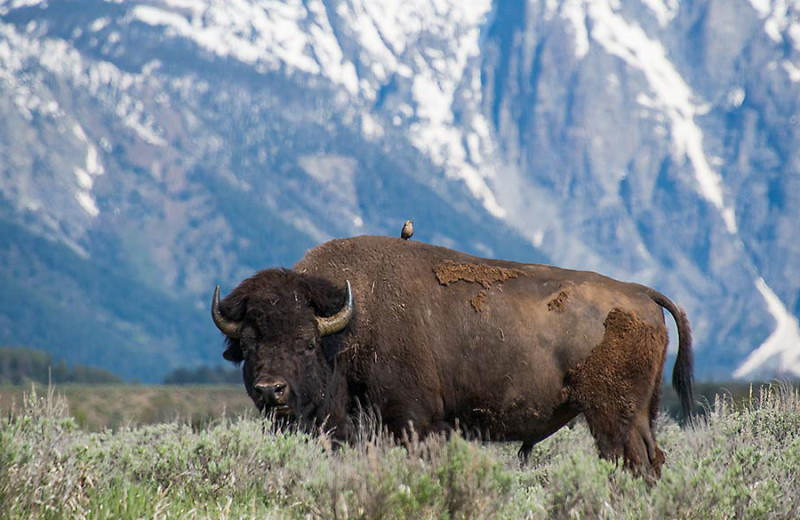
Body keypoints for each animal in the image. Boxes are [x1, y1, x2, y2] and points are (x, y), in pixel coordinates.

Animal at [212, 236, 692, 480]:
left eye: (307, 343)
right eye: (248, 346)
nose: (271, 390)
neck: (349, 326)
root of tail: (640, 293)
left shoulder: (414, 422)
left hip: (610, 415)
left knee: (629, 462)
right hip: (640, 413)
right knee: (651, 460)